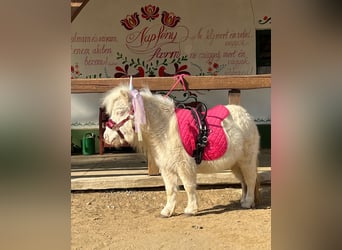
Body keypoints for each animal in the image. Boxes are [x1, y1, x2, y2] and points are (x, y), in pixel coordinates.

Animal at [101, 84, 260, 217]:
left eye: (120, 111)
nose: (106, 137)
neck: (165, 129)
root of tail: (246, 115)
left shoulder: (185, 166)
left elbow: (188, 187)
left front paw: (191, 210)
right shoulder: (167, 169)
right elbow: (170, 190)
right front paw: (167, 211)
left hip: (246, 161)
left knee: (250, 180)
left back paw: (247, 203)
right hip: (236, 164)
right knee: (243, 182)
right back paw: (243, 200)